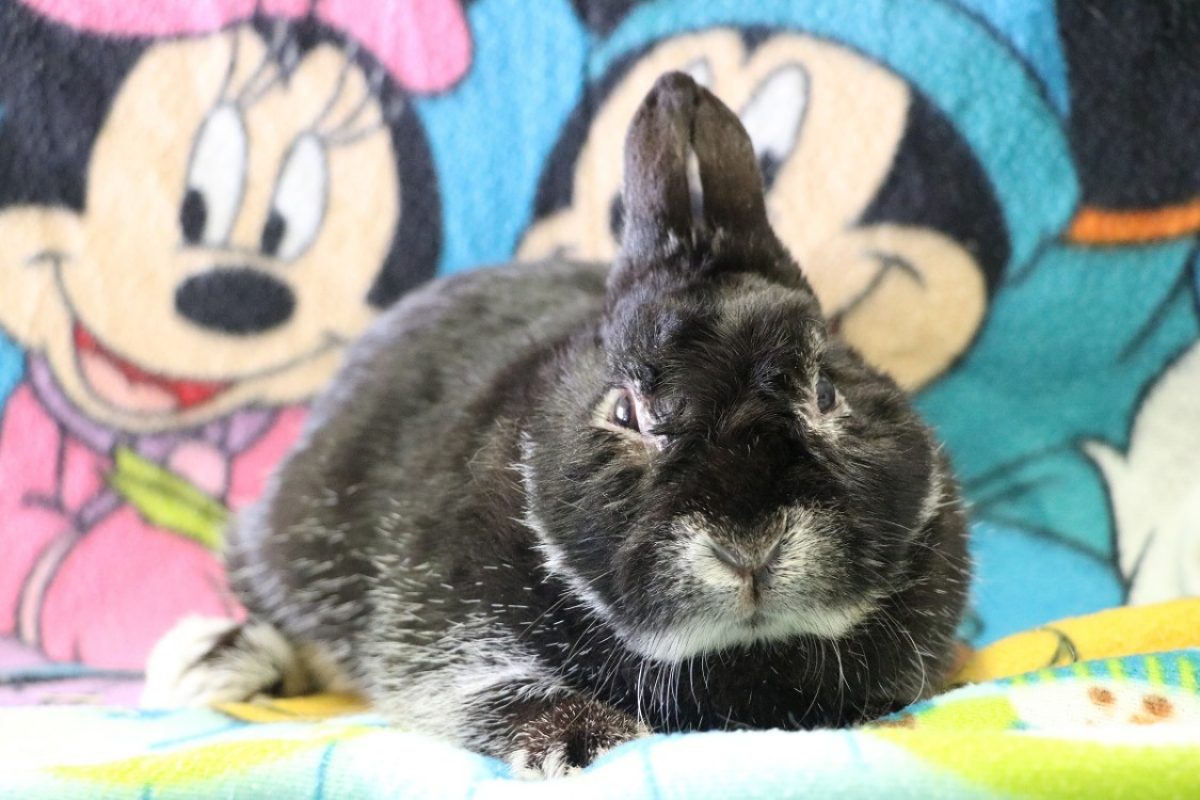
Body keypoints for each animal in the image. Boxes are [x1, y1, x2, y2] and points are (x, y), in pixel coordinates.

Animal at [142, 72, 970, 778]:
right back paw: (209, 661)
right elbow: (476, 687)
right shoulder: (438, 630)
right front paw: (583, 742)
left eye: (826, 391)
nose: (750, 547)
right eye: (626, 411)